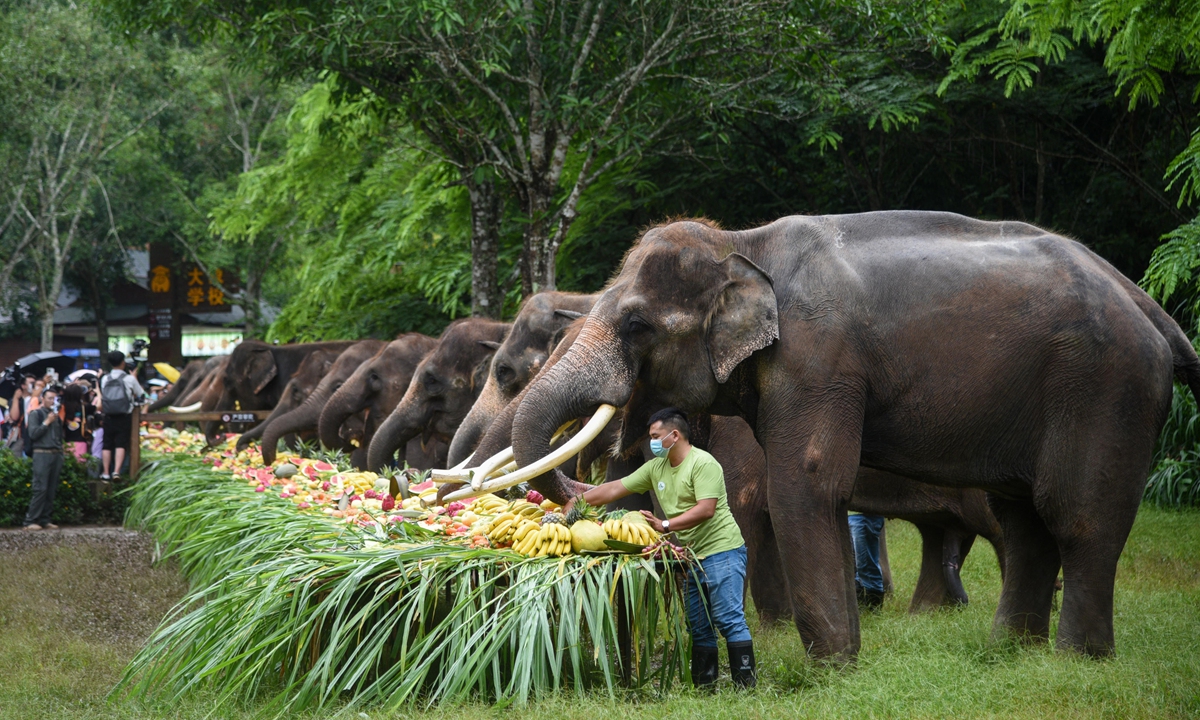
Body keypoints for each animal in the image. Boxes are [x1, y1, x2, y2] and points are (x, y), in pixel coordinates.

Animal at [508, 211, 1200, 660]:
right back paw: (1012, 651)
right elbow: (822, 496)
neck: (744, 242)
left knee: (1077, 517)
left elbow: (806, 486)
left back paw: (1077, 658)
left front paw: (831, 666)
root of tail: (1149, 307)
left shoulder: (818, 361)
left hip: (1104, 389)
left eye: (636, 324)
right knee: (1024, 517)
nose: (569, 499)